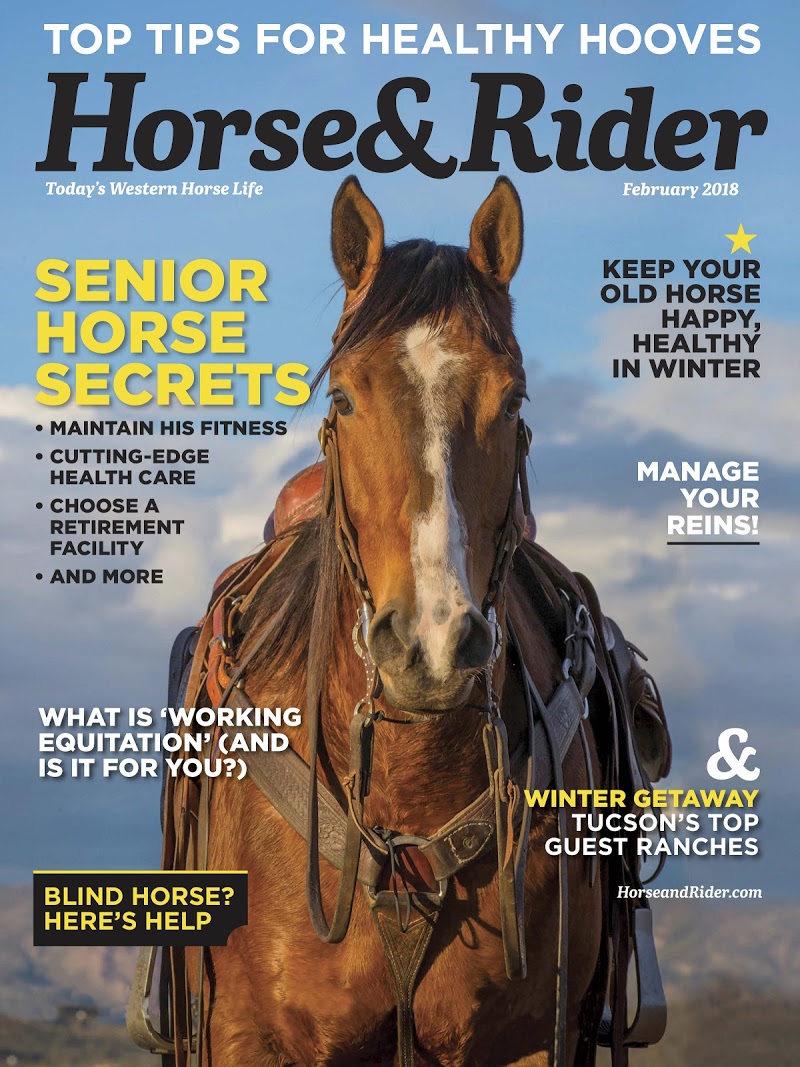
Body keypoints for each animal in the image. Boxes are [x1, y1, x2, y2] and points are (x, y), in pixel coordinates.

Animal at [153, 176, 670, 1067]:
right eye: (341, 394)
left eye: (514, 396)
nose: (432, 644)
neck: (407, 780)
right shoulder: (242, 1034)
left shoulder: (529, 1039)